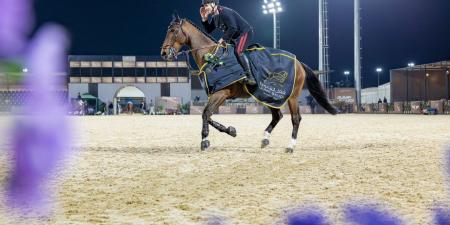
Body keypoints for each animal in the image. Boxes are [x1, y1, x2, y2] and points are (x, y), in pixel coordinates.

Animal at [162, 14, 338, 153]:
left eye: (173, 31)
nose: (164, 53)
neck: (211, 55)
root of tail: (299, 63)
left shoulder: (221, 93)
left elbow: (206, 114)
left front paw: (205, 141)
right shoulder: (217, 94)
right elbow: (208, 115)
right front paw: (231, 130)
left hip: (291, 97)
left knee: (295, 119)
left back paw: (290, 146)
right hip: (267, 96)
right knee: (278, 116)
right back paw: (265, 139)